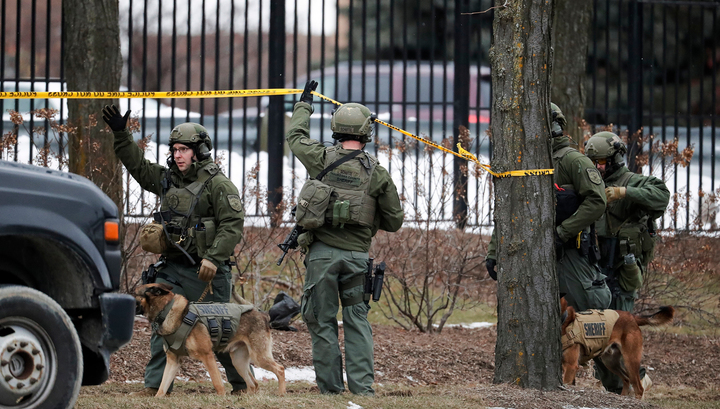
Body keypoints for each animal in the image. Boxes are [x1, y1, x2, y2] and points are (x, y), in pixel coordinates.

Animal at [134, 284, 286, 396]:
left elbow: (217, 383)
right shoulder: (173, 361)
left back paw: (281, 393)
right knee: (253, 383)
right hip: (238, 362)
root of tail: (260, 312)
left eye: (134, 293)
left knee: (280, 369)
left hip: (258, 357)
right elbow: (162, 386)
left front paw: (222, 398)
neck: (167, 311)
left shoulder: (207, 356)